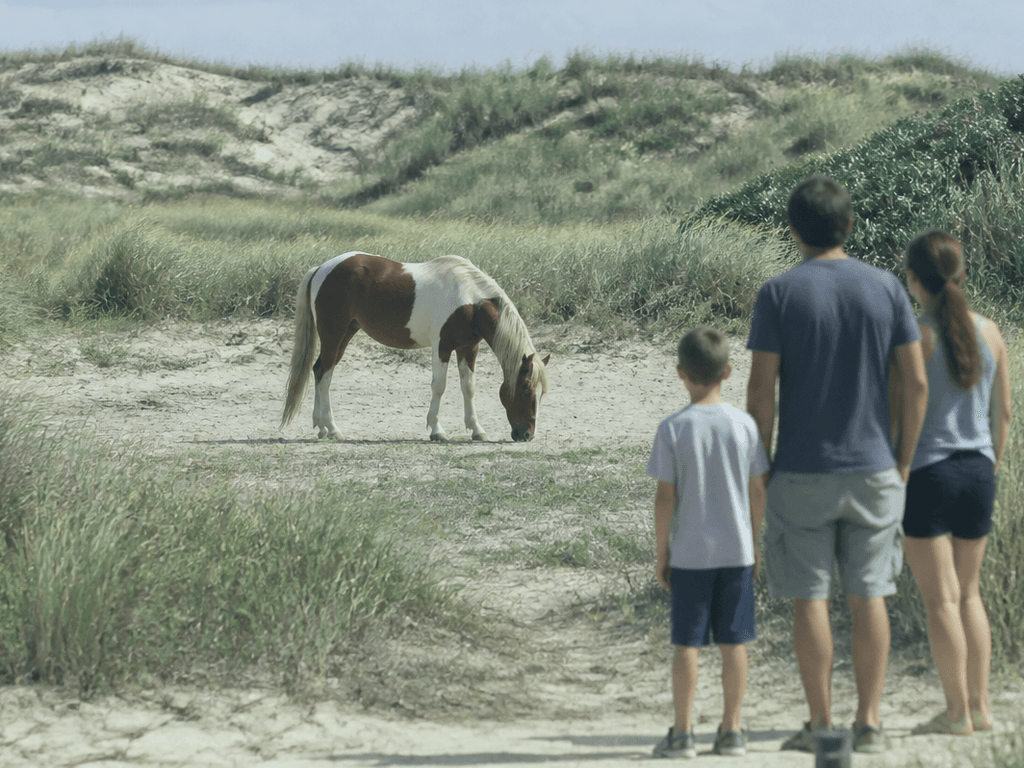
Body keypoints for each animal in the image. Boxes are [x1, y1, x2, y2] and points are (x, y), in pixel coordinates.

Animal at [281, 252, 549, 442]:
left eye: (540, 393)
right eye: (525, 389)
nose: (526, 435)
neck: (469, 300)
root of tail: (322, 269)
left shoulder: (468, 348)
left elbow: (468, 388)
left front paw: (477, 430)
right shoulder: (442, 347)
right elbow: (439, 386)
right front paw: (437, 431)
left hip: (346, 333)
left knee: (319, 370)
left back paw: (321, 428)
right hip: (334, 334)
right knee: (324, 375)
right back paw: (333, 428)